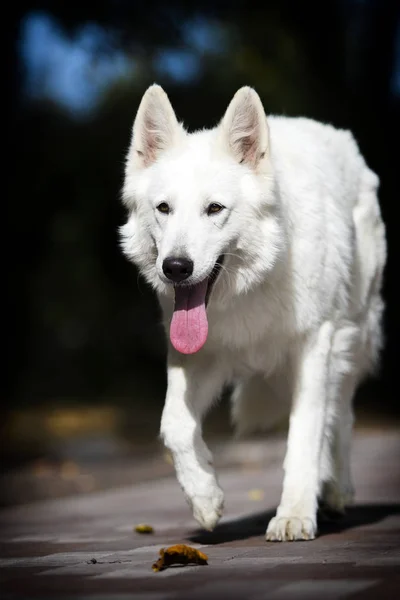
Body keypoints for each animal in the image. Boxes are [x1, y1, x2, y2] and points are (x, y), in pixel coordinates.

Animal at [119, 85, 388, 544]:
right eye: (164, 208)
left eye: (214, 209)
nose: (176, 267)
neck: (253, 284)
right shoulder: (198, 356)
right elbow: (174, 425)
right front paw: (205, 498)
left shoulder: (316, 345)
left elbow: (304, 434)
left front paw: (294, 514)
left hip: (353, 334)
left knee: (341, 409)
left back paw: (337, 488)